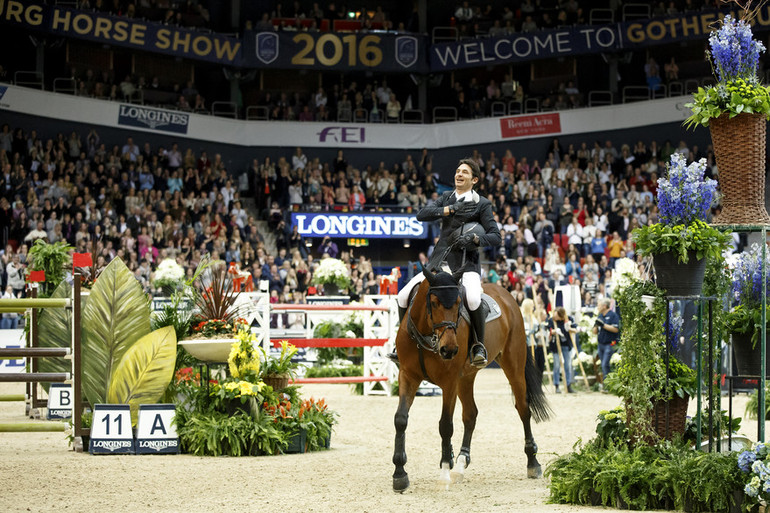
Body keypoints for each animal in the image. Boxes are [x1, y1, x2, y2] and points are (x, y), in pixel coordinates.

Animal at [392, 266, 548, 490]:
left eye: (459, 303)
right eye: (434, 303)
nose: (449, 350)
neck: (427, 335)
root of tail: (507, 295)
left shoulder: (449, 381)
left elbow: (445, 425)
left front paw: (444, 474)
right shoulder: (408, 375)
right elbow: (401, 419)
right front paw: (399, 474)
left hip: (514, 366)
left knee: (523, 409)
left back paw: (533, 462)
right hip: (466, 377)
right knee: (471, 414)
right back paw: (460, 464)